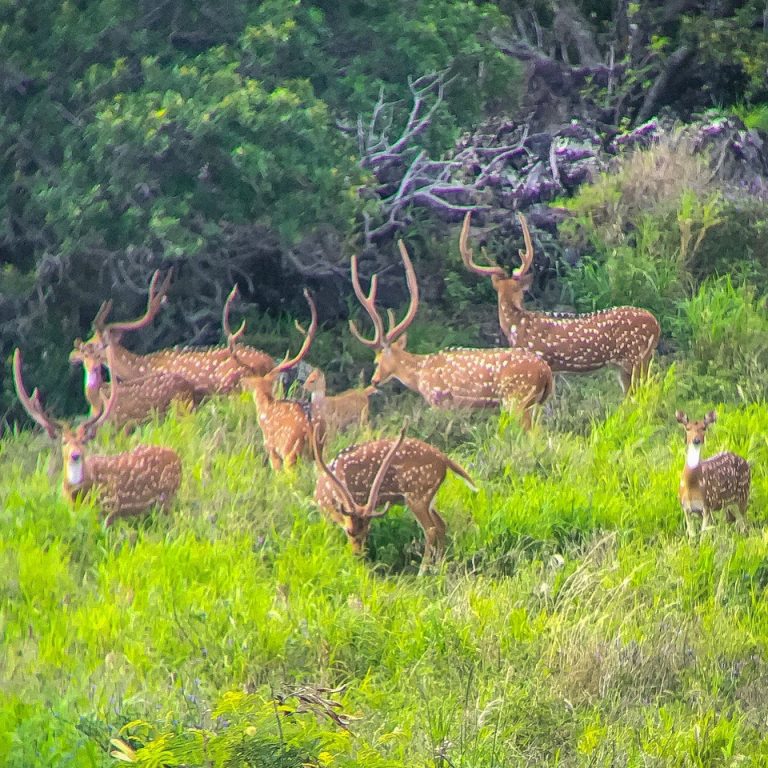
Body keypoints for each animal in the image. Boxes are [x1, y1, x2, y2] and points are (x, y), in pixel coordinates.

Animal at [14, 348, 182, 526]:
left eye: (83, 441)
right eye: (64, 441)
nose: (75, 455)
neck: (78, 493)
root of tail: (177, 458)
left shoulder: (110, 507)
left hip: (167, 498)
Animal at [312, 421, 476, 573]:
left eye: (365, 532)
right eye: (350, 532)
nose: (358, 556)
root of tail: (443, 458)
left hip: (417, 495)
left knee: (430, 529)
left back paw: (422, 571)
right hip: (429, 497)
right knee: (441, 523)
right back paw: (439, 566)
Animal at [349, 239, 554, 430]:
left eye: (376, 361)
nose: (374, 381)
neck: (420, 373)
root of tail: (546, 372)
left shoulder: (441, 400)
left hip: (516, 397)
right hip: (532, 402)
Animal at [459, 212, 661, 395]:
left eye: (520, 291)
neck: (518, 326)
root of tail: (656, 324)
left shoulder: (540, 359)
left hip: (635, 358)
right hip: (629, 364)